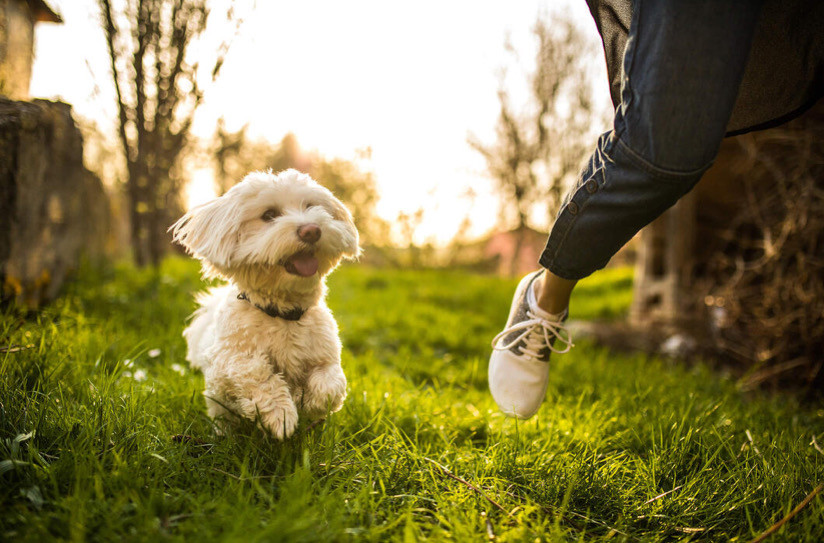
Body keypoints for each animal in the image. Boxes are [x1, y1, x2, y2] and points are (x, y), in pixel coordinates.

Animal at [171, 172, 358, 440]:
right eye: (269, 215)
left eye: (311, 207)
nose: (311, 230)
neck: (282, 314)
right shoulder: (225, 362)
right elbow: (256, 373)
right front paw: (281, 415)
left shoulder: (326, 355)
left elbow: (331, 382)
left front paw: (308, 400)